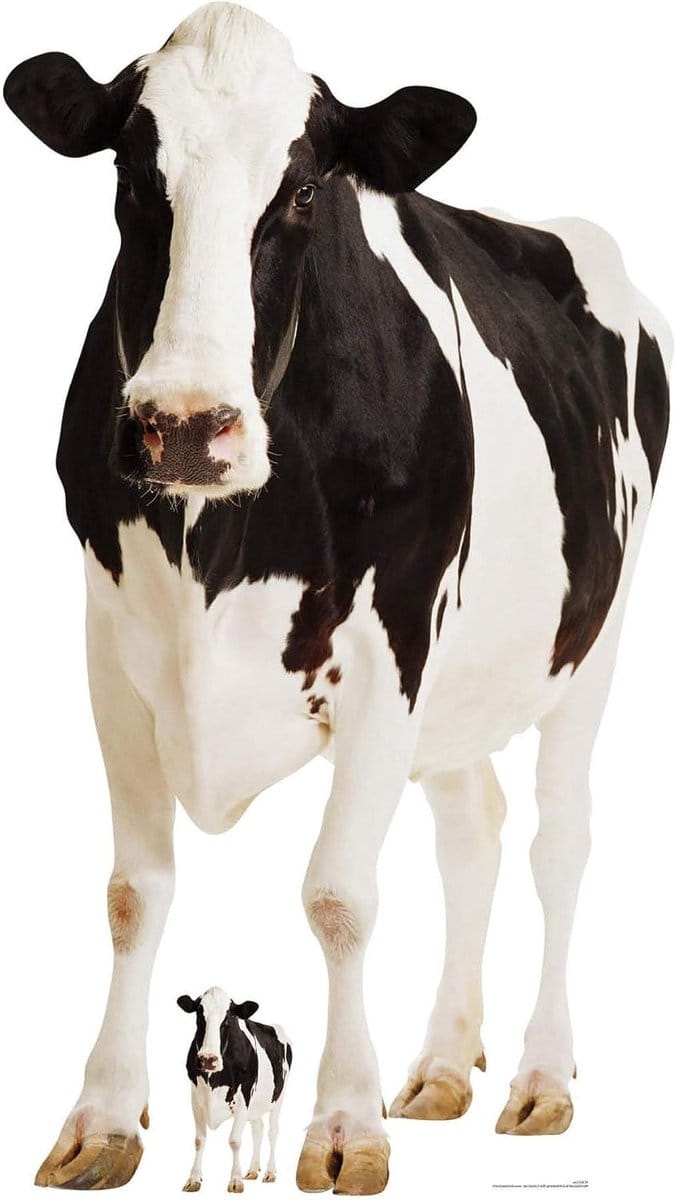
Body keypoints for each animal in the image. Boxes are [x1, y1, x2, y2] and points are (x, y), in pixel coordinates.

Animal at [177, 988, 291, 1193]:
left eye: (228, 1018)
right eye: (199, 1014)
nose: (207, 1059)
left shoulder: (244, 1097)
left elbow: (235, 1141)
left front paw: (235, 1180)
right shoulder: (195, 1098)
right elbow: (199, 1140)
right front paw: (194, 1179)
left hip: (278, 1097)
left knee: (273, 1132)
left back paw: (270, 1172)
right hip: (255, 1106)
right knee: (258, 1130)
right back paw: (253, 1170)